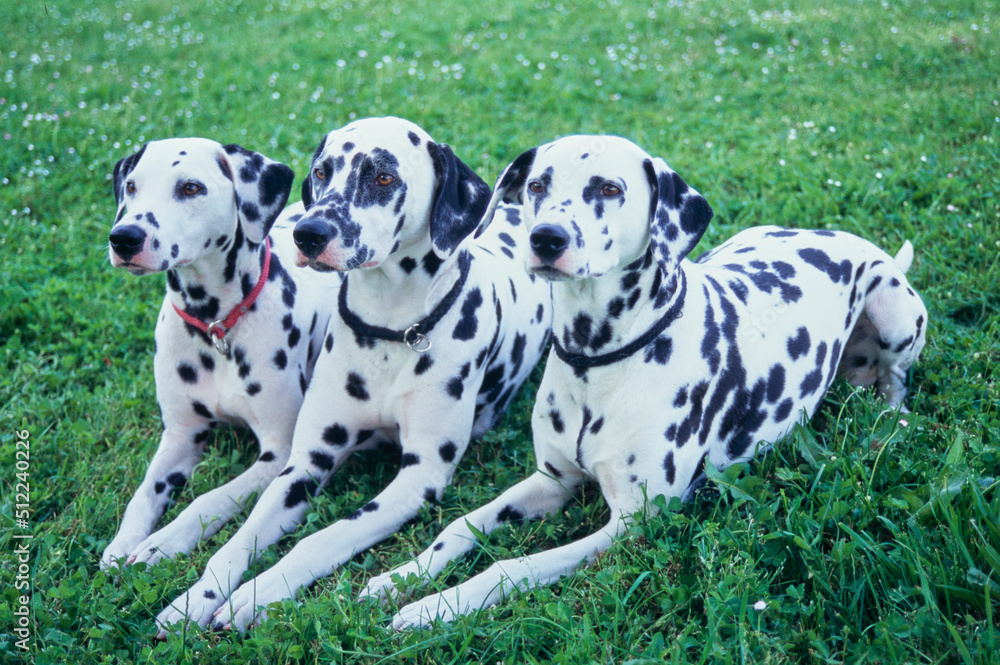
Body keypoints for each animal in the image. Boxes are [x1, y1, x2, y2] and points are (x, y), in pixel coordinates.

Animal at [102, 136, 342, 572]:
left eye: (190, 187)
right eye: (131, 186)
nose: (124, 237)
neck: (214, 326)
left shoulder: (279, 452)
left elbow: (209, 498)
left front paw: (163, 542)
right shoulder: (180, 435)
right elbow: (143, 493)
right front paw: (124, 541)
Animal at [154, 116, 556, 636]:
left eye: (383, 177)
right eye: (322, 171)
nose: (308, 233)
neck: (388, 331)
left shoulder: (419, 477)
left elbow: (323, 537)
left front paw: (259, 592)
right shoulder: (304, 464)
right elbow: (239, 538)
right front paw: (196, 597)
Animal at [362, 135, 928, 628]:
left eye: (609, 188)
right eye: (538, 185)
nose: (546, 238)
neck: (597, 361)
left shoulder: (633, 522)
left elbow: (513, 566)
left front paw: (437, 608)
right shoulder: (551, 480)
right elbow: (459, 526)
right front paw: (399, 578)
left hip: (894, 307)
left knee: (896, 377)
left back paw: (888, 416)